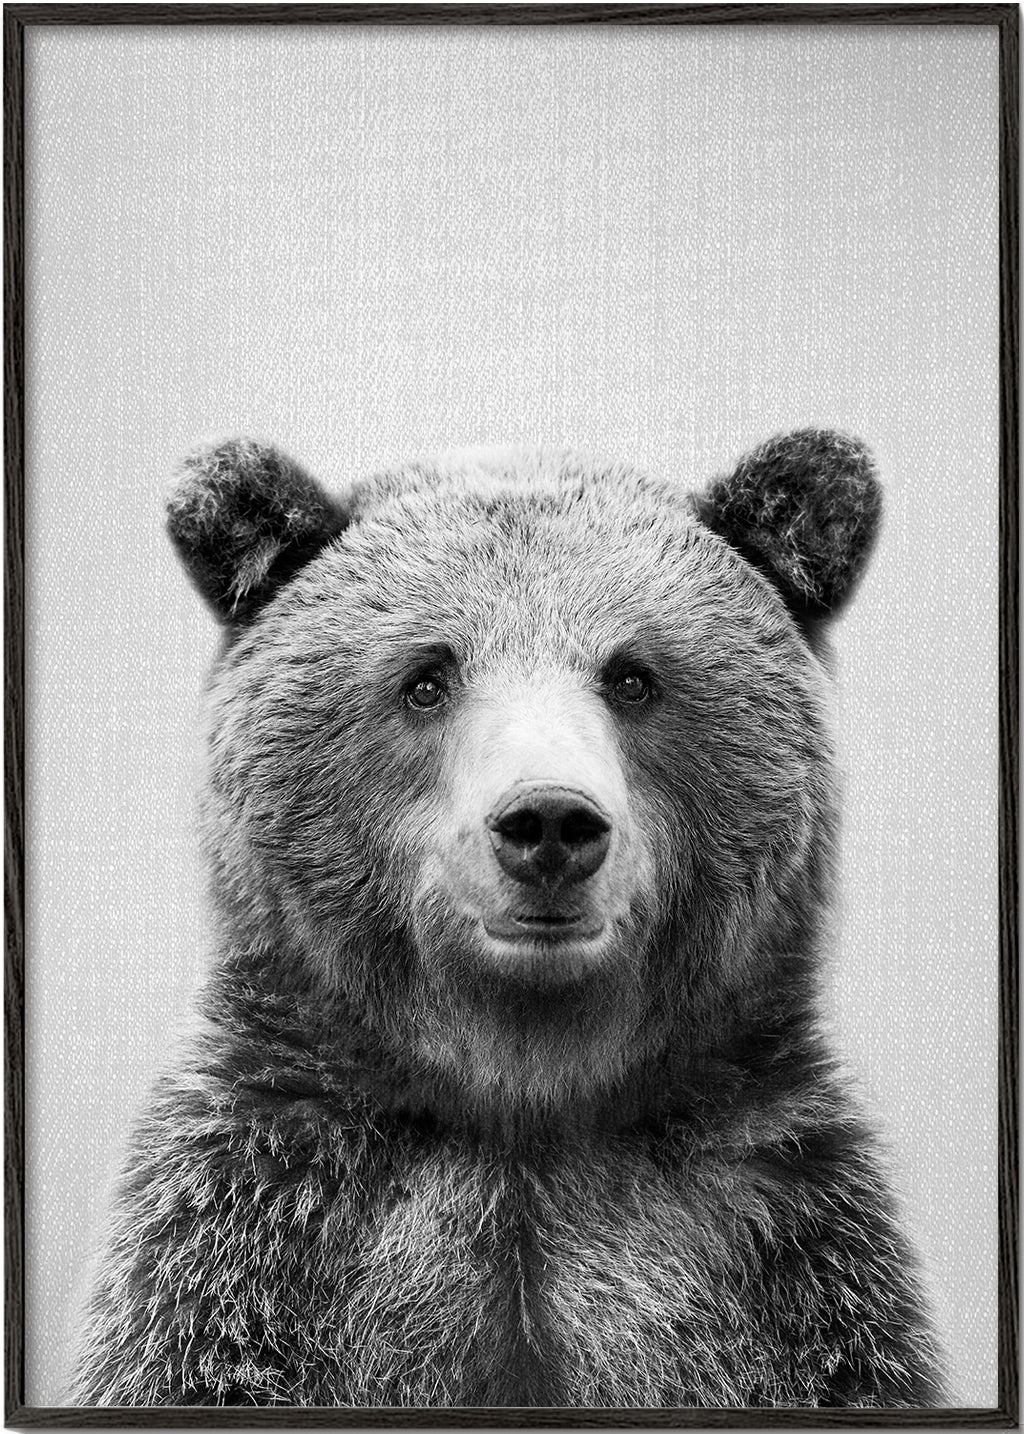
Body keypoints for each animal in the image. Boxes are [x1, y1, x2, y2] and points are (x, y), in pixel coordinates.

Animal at [70, 430, 942, 1409]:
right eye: (426, 678)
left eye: (633, 676)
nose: (550, 821)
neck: (524, 1101)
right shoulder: (250, 1246)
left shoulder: (782, 1261)